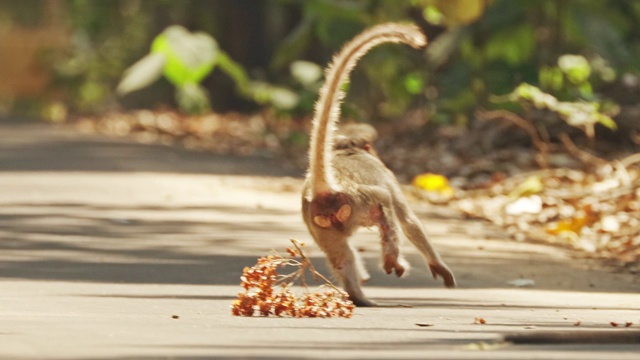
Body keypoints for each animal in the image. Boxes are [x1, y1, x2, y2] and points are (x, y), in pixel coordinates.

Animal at [302, 23, 456, 306]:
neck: (345, 150)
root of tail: (326, 190)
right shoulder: (389, 178)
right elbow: (408, 220)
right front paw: (437, 266)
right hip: (356, 205)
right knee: (385, 206)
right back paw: (391, 260)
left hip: (318, 221)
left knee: (341, 255)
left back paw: (358, 295)